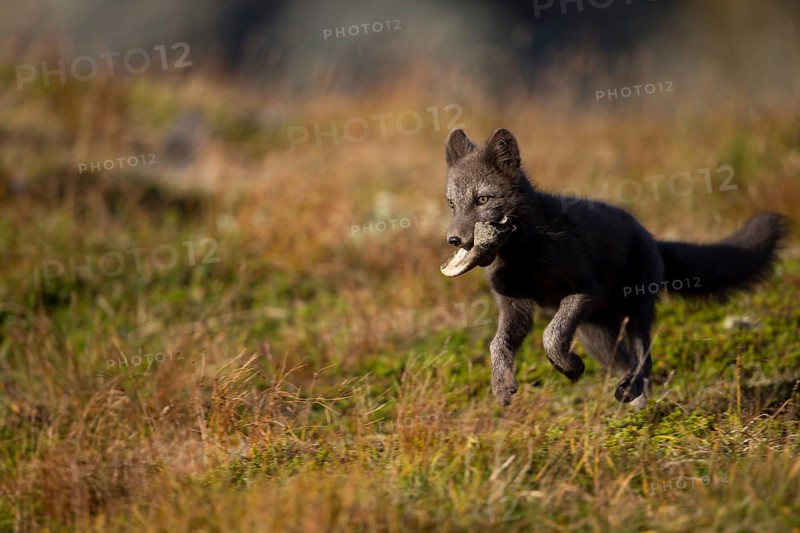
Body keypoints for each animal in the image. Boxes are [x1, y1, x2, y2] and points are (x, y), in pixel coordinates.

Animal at [440, 128, 788, 407]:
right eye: (452, 204)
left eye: (483, 200)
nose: (454, 239)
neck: (524, 251)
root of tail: (650, 236)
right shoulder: (516, 307)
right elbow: (498, 344)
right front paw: (502, 385)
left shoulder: (582, 290)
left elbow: (551, 335)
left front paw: (569, 367)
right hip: (597, 336)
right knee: (631, 367)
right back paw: (637, 411)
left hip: (635, 312)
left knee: (645, 361)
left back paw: (630, 397)